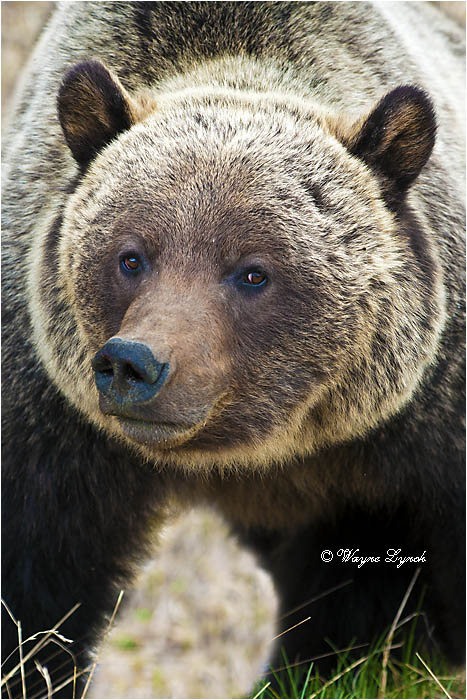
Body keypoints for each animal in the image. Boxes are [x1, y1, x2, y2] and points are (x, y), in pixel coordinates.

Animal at [2, 1, 465, 698]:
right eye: (130, 256)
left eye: (252, 271)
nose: (133, 364)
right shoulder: (51, 423)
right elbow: (34, 590)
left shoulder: (429, 425)